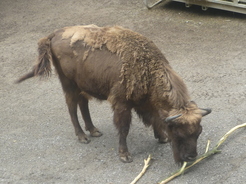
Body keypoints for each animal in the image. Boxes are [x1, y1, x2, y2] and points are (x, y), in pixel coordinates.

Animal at [16, 24, 211, 162]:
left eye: (198, 132)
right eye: (179, 134)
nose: (191, 157)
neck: (147, 67)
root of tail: (54, 34)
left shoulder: (145, 103)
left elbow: (154, 118)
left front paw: (161, 138)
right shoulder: (122, 104)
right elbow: (123, 128)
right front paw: (125, 155)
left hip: (83, 85)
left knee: (83, 104)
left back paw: (94, 131)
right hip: (69, 84)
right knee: (72, 107)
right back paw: (82, 137)